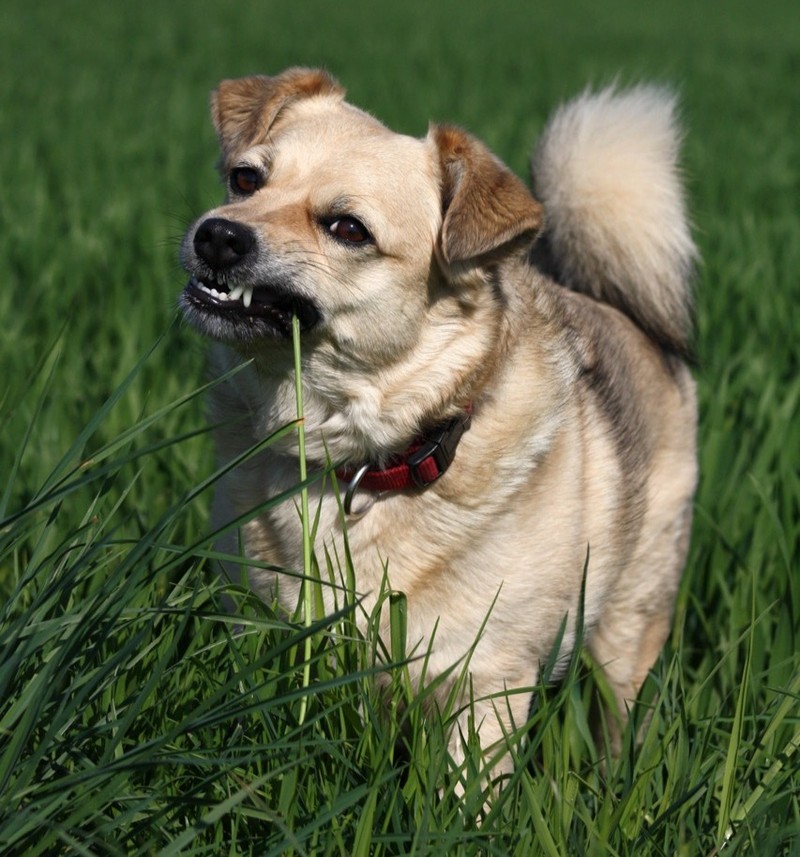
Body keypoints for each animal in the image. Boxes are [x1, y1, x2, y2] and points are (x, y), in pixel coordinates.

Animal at [178, 65, 696, 776]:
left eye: (348, 229)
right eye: (245, 179)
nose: (218, 234)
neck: (359, 457)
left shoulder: (488, 681)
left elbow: (464, 791)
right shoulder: (261, 631)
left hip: (629, 623)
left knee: (622, 712)